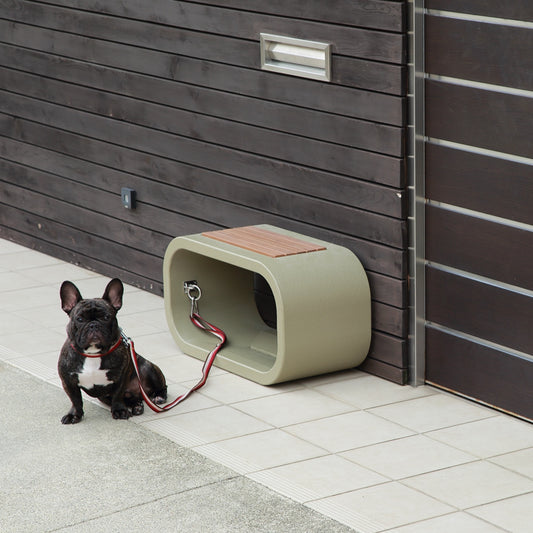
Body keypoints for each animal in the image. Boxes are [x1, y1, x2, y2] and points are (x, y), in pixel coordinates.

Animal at [58, 278, 166, 424]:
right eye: (79, 319)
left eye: (106, 317)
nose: (93, 325)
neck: (93, 354)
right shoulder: (68, 381)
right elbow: (75, 400)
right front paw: (74, 414)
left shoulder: (121, 376)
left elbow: (117, 395)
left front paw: (119, 411)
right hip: (104, 397)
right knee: (132, 399)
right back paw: (137, 406)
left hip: (148, 368)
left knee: (161, 387)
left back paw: (158, 397)